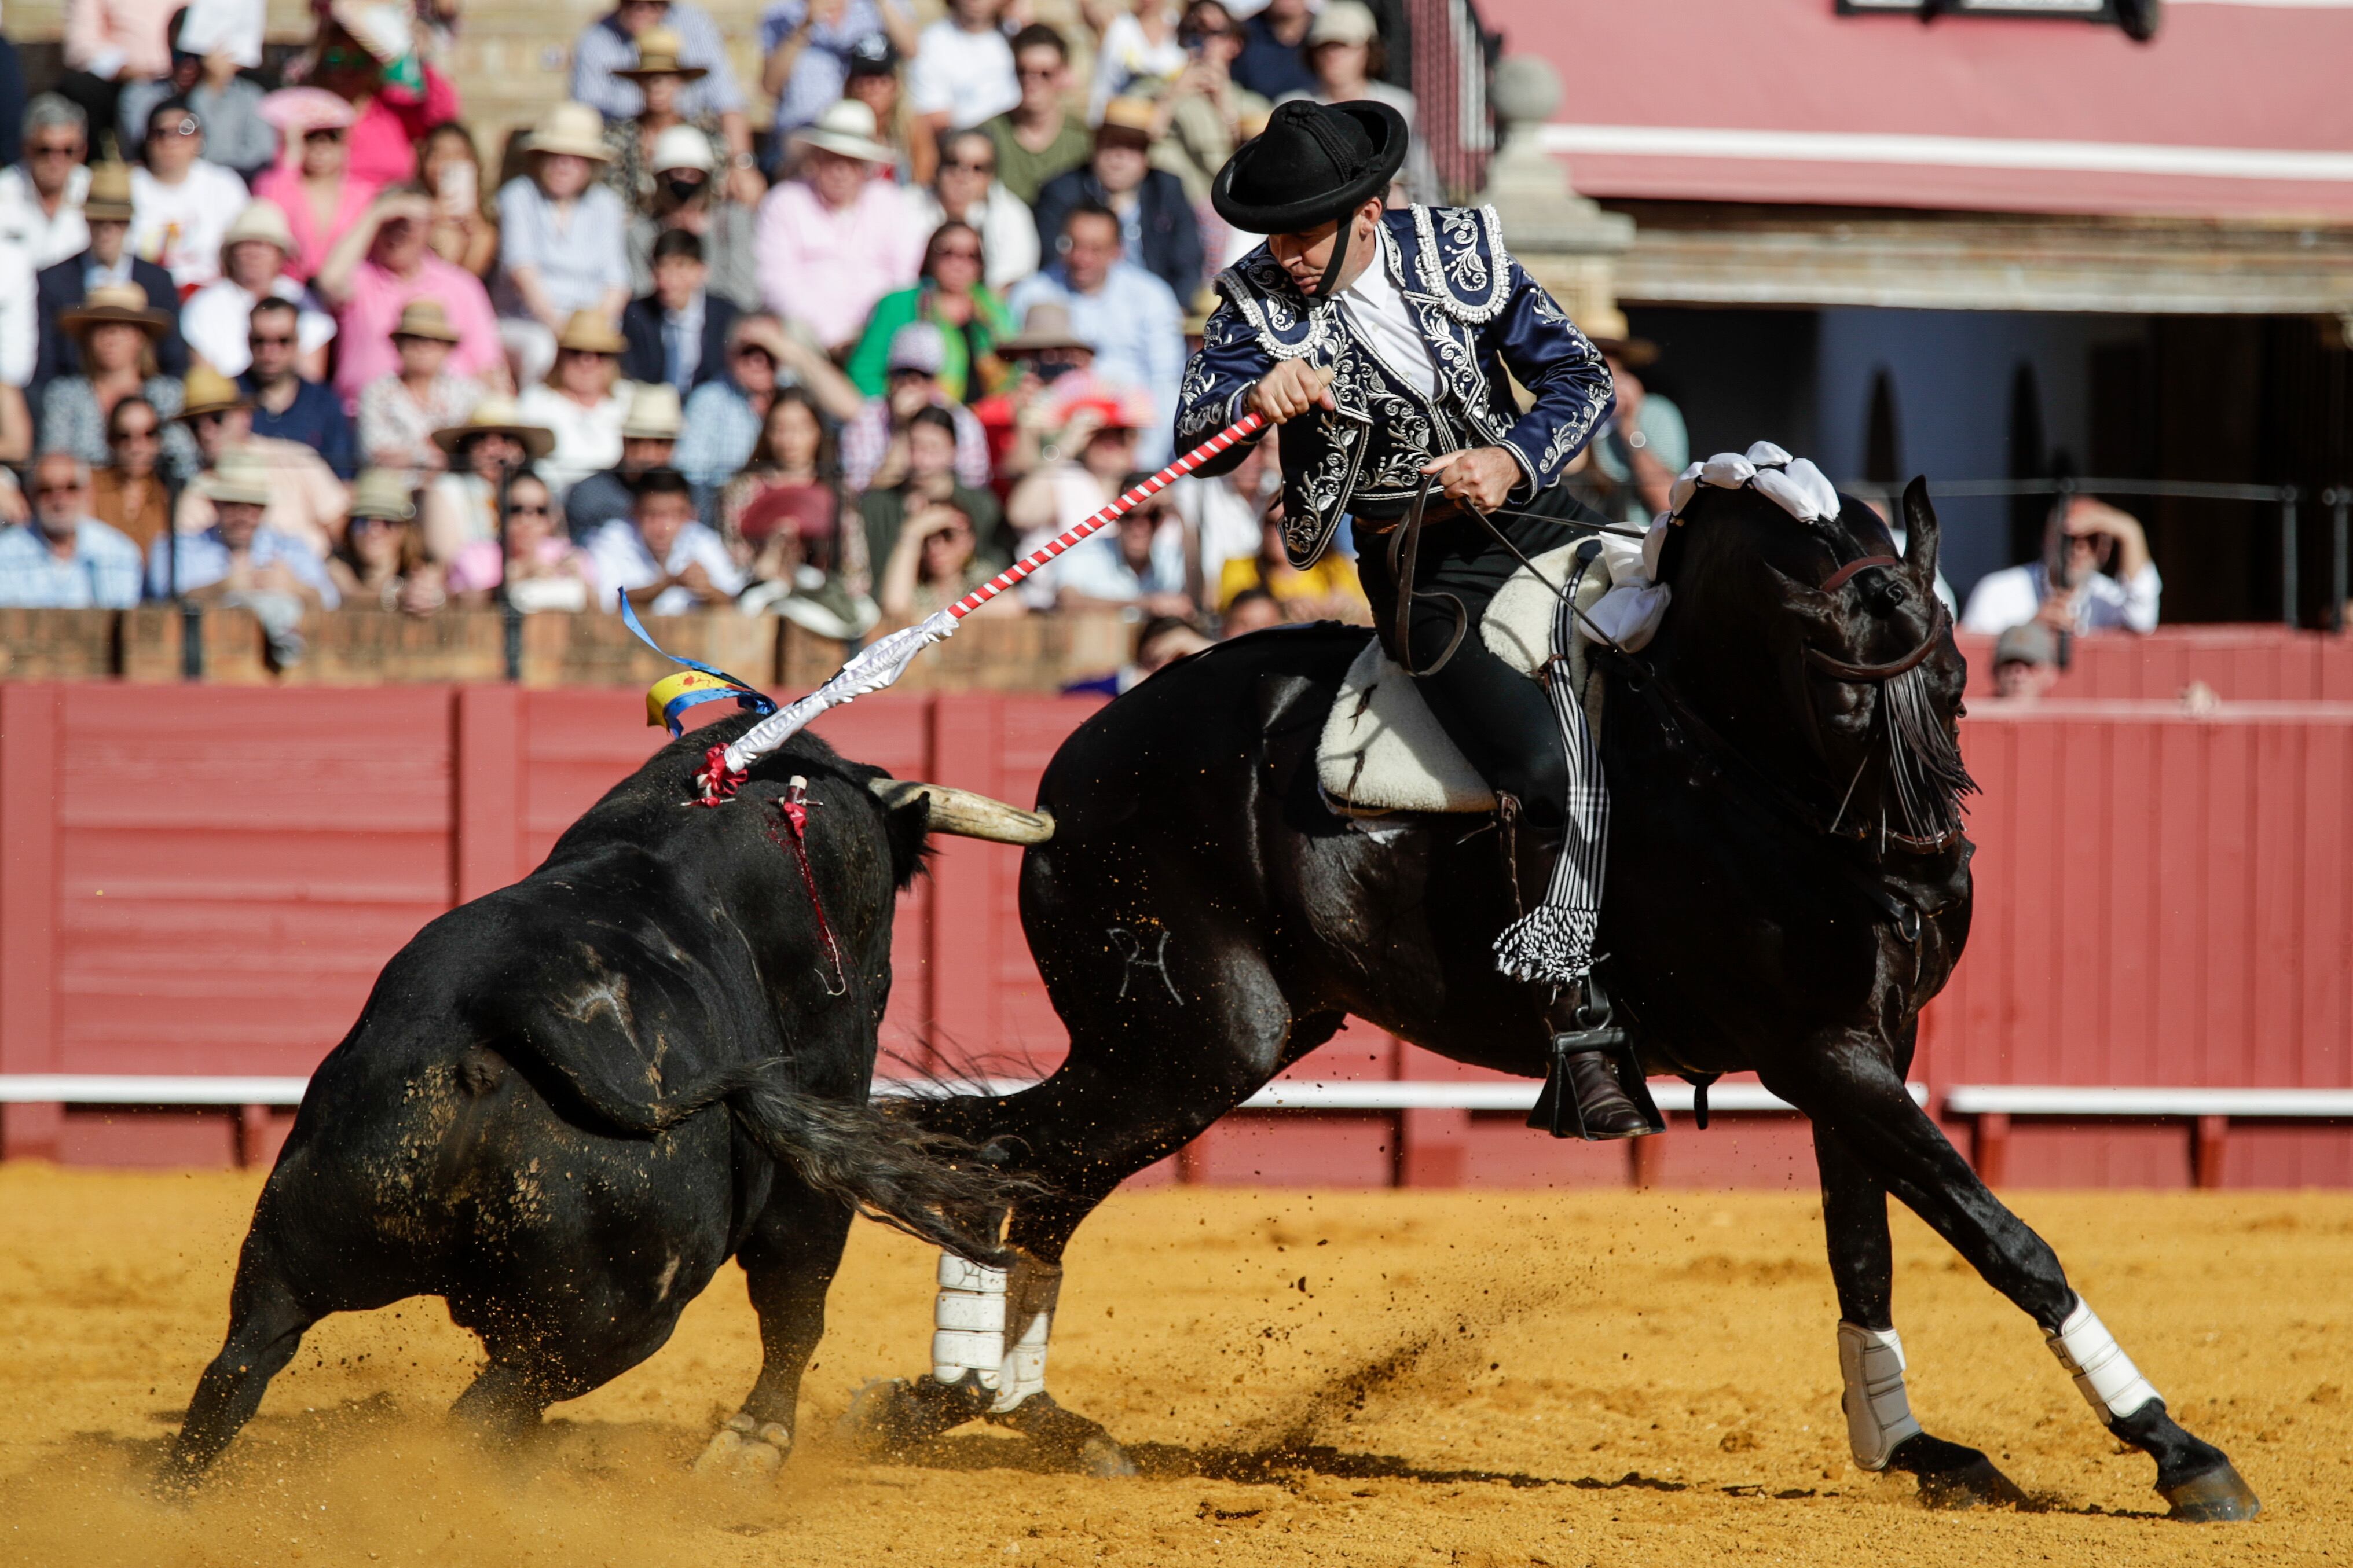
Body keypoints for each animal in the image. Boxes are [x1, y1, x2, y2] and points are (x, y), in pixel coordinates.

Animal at [166, 724, 1011, 1485]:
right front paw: (752, 1445)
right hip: (609, 1319)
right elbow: (797, 1293)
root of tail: (507, 1008)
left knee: (239, 1369)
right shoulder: (823, 1116)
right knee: (481, 1416)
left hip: (304, 1235)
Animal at [866, 475, 2259, 1523]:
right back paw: (964, 1398)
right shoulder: (1818, 1049)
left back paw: (1019, 1409)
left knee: (1035, 1171)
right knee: (1004, 1155)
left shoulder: (1872, 1041)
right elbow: (1997, 1232)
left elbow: (1864, 1243)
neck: (1718, 750)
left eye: (1957, 678)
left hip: (1192, 1042)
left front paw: (1911, 1446)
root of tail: (1071, 765)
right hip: (1197, 1038)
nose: (1925, 887)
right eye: (1837, 688)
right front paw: (2177, 1448)